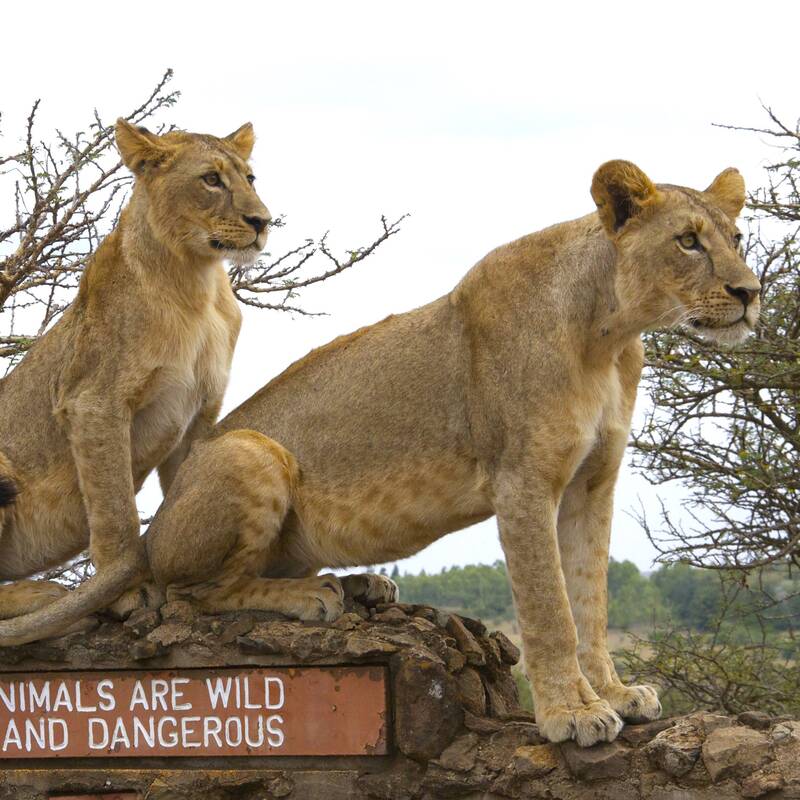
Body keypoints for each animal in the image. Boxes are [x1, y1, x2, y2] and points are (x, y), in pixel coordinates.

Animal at [0, 117, 272, 644]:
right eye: (211, 180)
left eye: (251, 178)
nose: (263, 221)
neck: (197, 285)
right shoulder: (93, 401)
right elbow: (115, 512)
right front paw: (125, 593)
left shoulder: (200, 412)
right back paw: (43, 598)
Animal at [144, 159, 764, 748]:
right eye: (688, 241)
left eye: (736, 239)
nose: (750, 294)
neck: (609, 335)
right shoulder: (522, 481)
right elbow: (551, 610)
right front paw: (574, 714)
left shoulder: (594, 485)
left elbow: (591, 600)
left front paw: (615, 694)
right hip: (250, 453)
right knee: (192, 593)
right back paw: (311, 596)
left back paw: (362, 586)